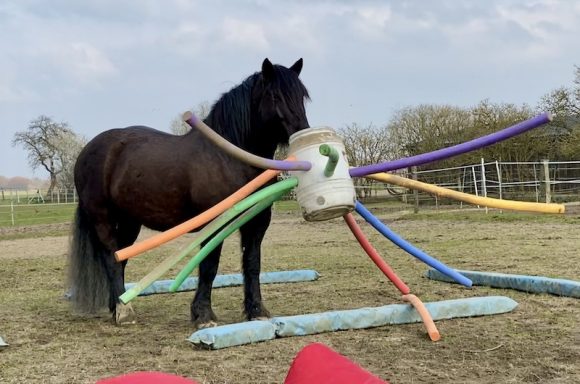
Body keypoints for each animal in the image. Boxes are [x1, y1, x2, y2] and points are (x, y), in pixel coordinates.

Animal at [68, 57, 310, 328]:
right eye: (275, 95)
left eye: (301, 96)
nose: (302, 135)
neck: (228, 158)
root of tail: (88, 150)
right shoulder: (215, 224)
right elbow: (209, 267)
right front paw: (203, 315)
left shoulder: (256, 223)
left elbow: (252, 264)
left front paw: (256, 311)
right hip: (102, 218)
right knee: (111, 258)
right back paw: (124, 312)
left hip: (130, 221)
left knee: (121, 259)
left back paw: (118, 306)